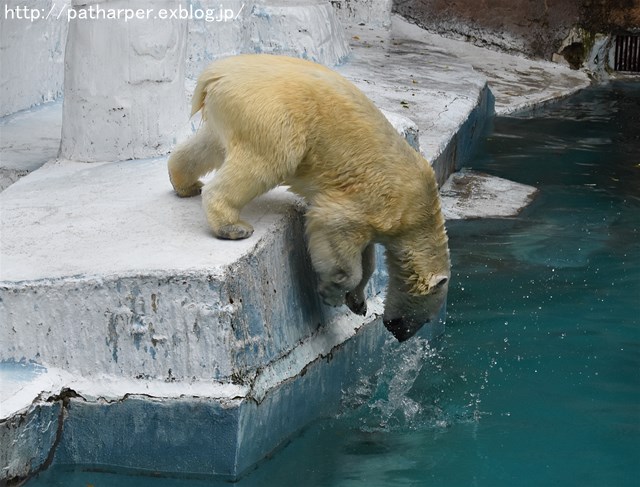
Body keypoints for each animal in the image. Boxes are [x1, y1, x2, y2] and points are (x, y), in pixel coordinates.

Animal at [169, 54, 450, 344]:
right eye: (426, 319)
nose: (400, 335)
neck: (419, 210)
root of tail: (215, 75)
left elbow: (366, 255)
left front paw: (358, 302)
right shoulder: (383, 204)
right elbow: (334, 226)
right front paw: (332, 291)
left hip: (231, 113)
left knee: (208, 144)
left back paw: (186, 184)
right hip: (270, 116)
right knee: (269, 160)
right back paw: (232, 226)